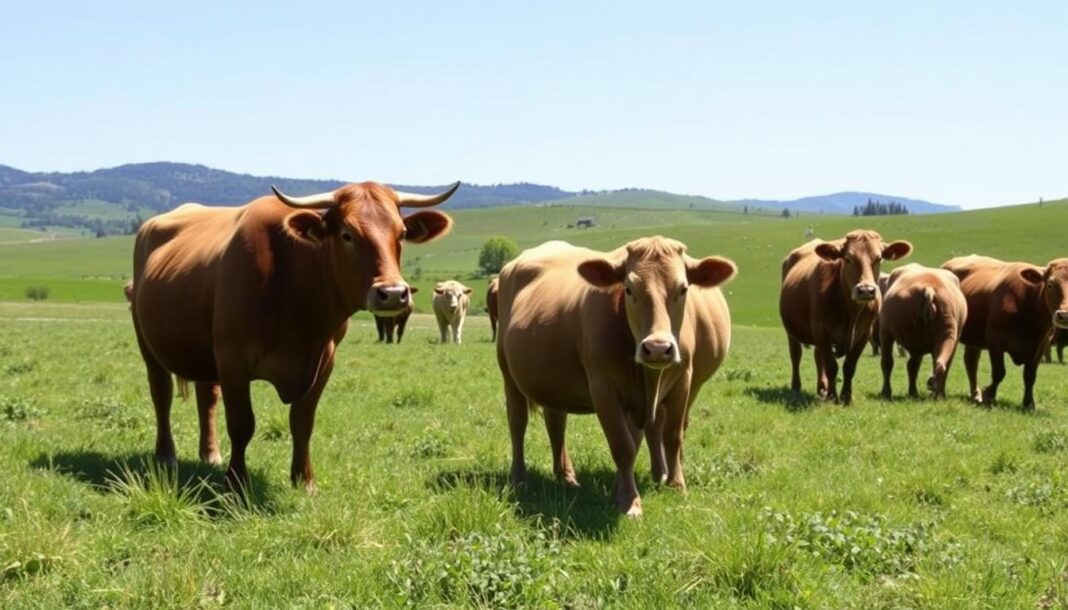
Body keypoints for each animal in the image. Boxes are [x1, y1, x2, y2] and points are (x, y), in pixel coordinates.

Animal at [127, 180, 457, 491]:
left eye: (401, 233)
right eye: (347, 234)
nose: (393, 293)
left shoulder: (324, 360)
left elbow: (302, 422)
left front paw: (304, 479)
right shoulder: (233, 360)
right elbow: (242, 424)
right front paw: (235, 483)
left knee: (206, 396)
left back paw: (210, 453)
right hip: (148, 343)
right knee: (161, 394)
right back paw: (166, 455)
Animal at [497, 238, 734, 514]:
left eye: (683, 288)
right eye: (629, 289)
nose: (657, 348)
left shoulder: (682, 381)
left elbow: (671, 435)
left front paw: (675, 486)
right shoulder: (603, 388)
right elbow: (623, 446)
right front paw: (629, 500)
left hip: (552, 379)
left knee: (556, 423)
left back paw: (566, 476)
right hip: (508, 374)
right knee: (517, 423)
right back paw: (519, 478)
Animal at [781, 231, 914, 403]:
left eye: (879, 258)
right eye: (848, 258)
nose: (866, 290)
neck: (850, 312)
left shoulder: (864, 334)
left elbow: (849, 366)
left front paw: (846, 397)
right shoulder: (821, 331)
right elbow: (831, 366)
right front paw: (832, 397)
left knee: (818, 357)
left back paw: (821, 388)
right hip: (792, 331)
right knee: (796, 355)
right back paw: (796, 386)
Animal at [875, 263, 969, 401]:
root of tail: (929, 288)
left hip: (888, 331)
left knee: (889, 362)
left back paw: (888, 393)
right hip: (946, 331)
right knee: (940, 363)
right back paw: (937, 393)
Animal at [944, 255, 1068, 408]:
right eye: (1050, 285)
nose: (1065, 315)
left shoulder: (1042, 345)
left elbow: (1030, 375)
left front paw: (1029, 403)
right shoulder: (995, 341)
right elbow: (999, 372)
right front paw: (988, 395)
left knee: (971, 361)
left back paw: (975, 395)